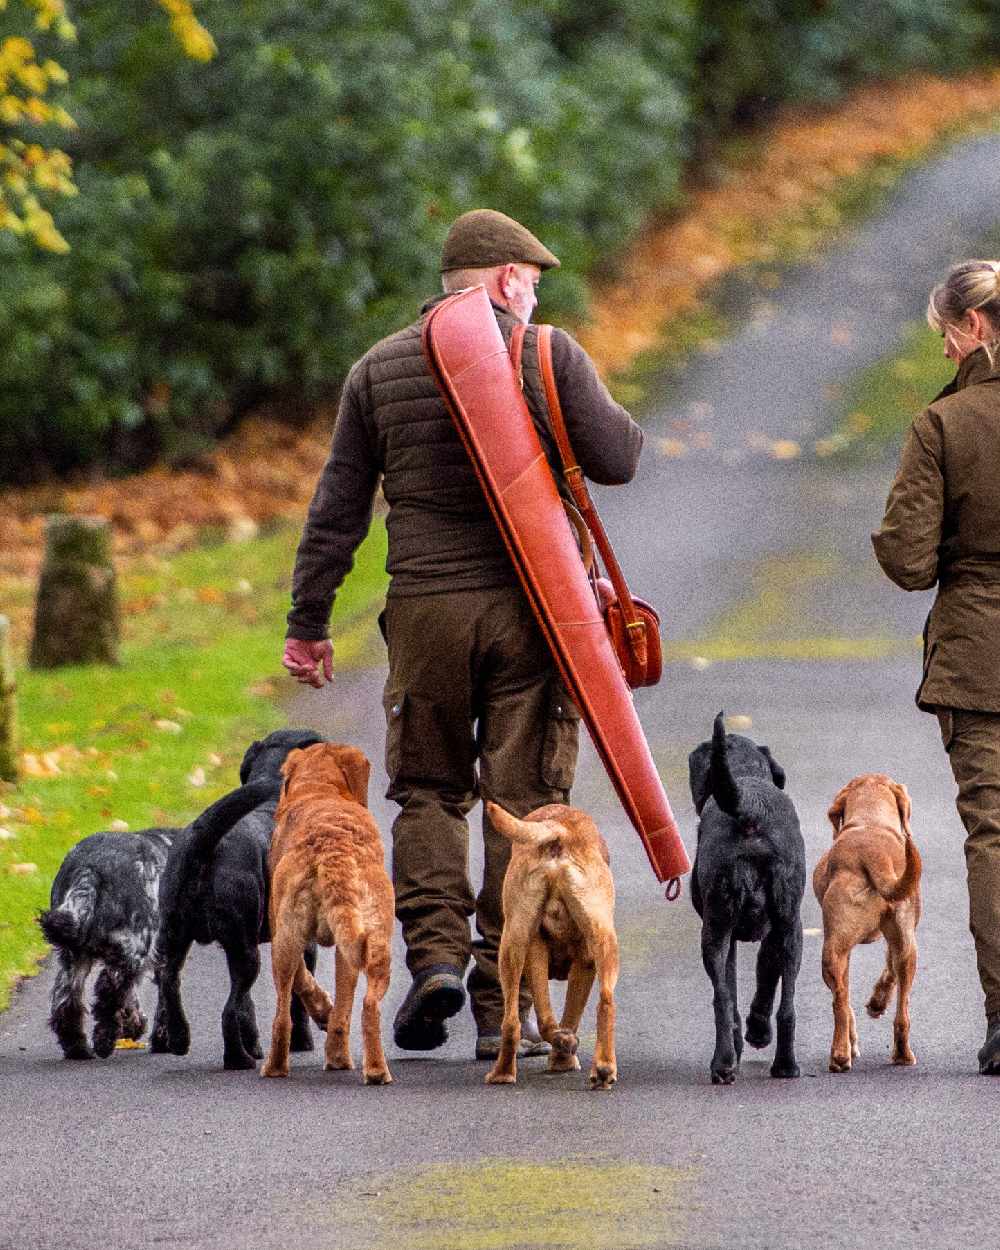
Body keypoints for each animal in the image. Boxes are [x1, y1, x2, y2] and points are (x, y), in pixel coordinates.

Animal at [260, 740, 392, 1085]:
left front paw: (322, 1011)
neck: (320, 789)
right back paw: (372, 1070)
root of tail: (334, 847)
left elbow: (304, 981)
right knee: (367, 1006)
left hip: (288, 938)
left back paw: (276, 1067)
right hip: (375, 941)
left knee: (283, 1016)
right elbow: (340, 1009)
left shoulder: (280, 929)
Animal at [485, 805, 617, 1090]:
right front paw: (563, 1060)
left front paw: (562, 1050)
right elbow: (571, 1016)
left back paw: (504, 1073)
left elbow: (553, 1019)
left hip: (514, 942)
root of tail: (560, 831)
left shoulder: (540, 952)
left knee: (514, 1021)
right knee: (604, 1003)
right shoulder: (585, 962)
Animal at [810, 770, 920, 1075]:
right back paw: (902, 1055)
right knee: (902, 1012)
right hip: (908, 950)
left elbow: (846, 998)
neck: (871, 822)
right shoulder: (899, 941)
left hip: (833, 953)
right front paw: (876, 1004)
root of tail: (874, 855)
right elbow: (889, 972)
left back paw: (841, 1054)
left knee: (840, 1003)